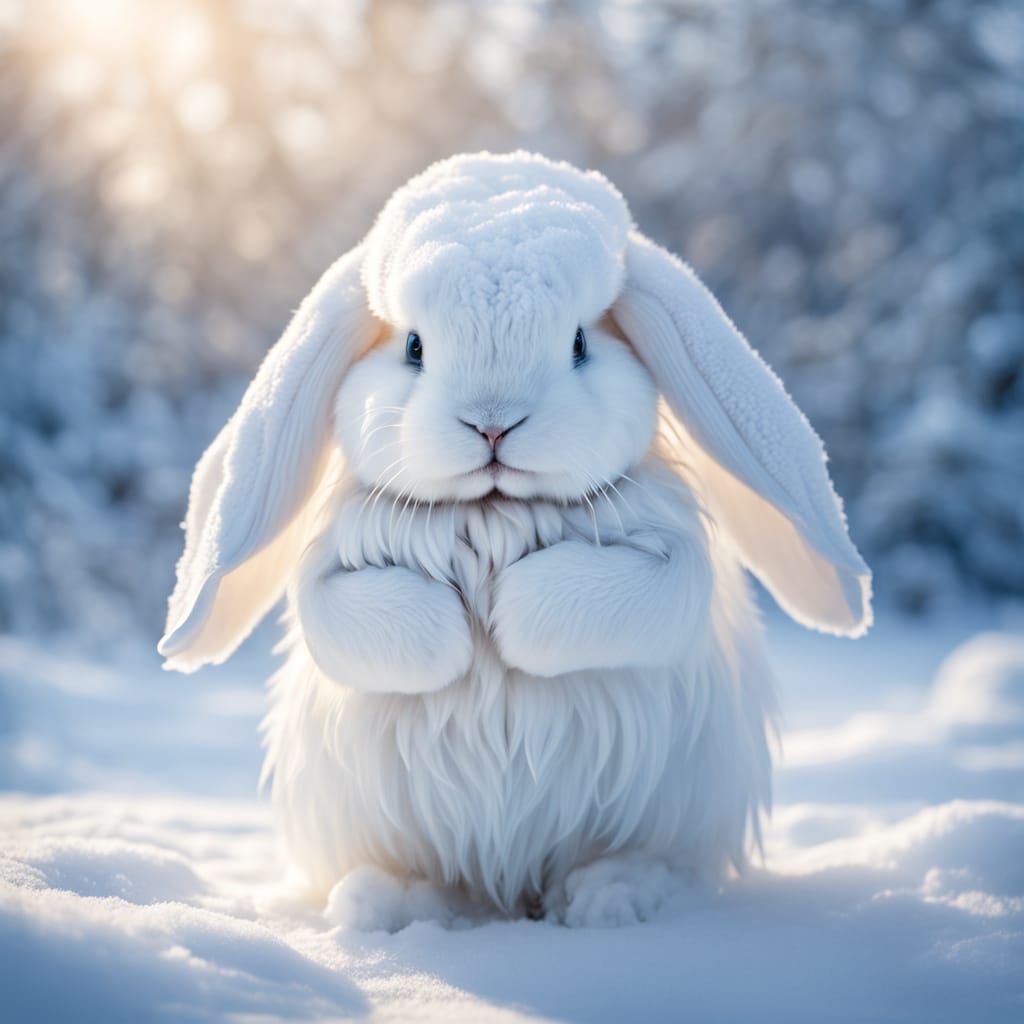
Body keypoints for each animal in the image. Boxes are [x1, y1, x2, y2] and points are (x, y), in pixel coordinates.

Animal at [158, 151, 871, 929]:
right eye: (413, 346)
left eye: (580, 342)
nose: (493, 423)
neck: (493, 509)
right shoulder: (332, 567)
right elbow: (346, 616)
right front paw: (460, 637)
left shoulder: (670, 551)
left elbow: (644, 594)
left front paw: (507, 620)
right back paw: (383, 904)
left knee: (646, 860)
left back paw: (613, 897)